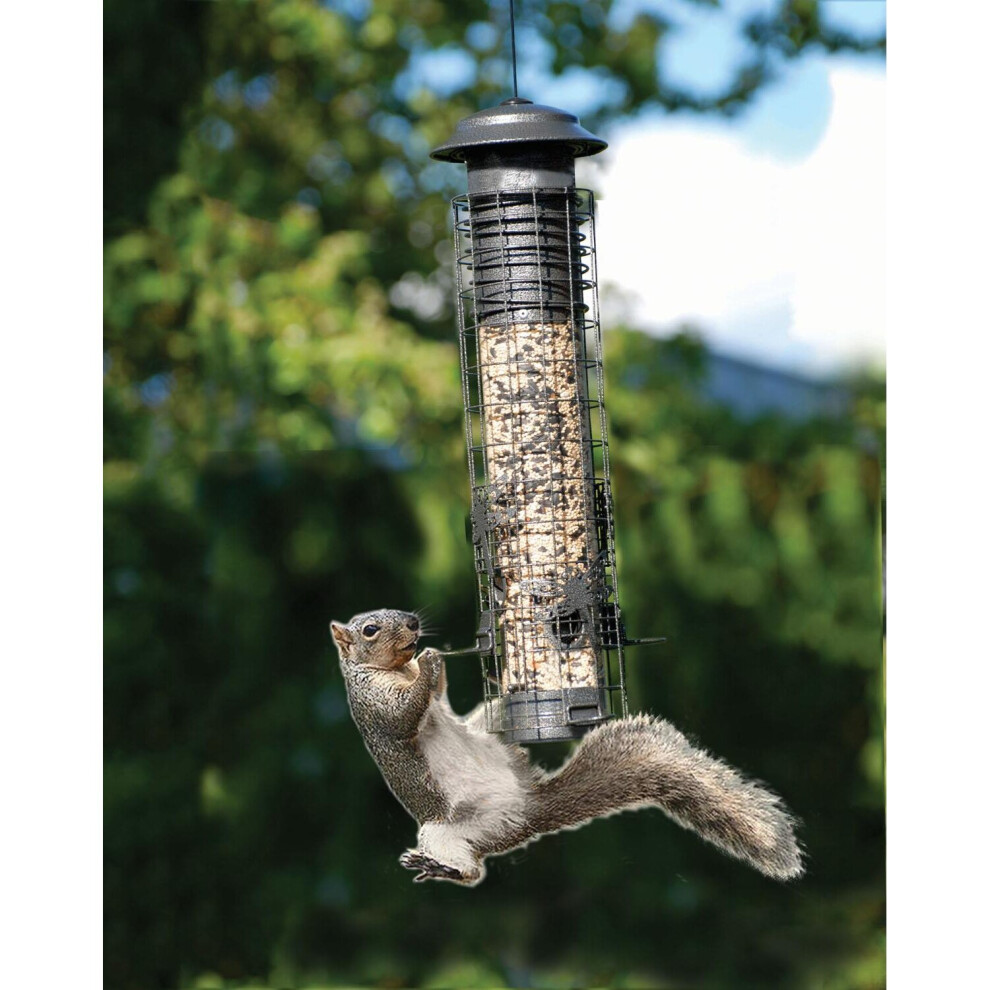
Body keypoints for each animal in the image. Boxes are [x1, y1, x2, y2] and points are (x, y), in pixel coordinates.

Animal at [331, 608, 804, 887]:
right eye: (370, 629)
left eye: (401, 613)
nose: (414, 622)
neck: (396, 669)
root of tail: (527, 810)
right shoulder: (372, 704)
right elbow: (403, 715)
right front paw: (430, 659)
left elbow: (437, 696)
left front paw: (433, 657)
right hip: (447, 831)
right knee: (470, 871)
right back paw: (440, 867)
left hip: (488, 737)